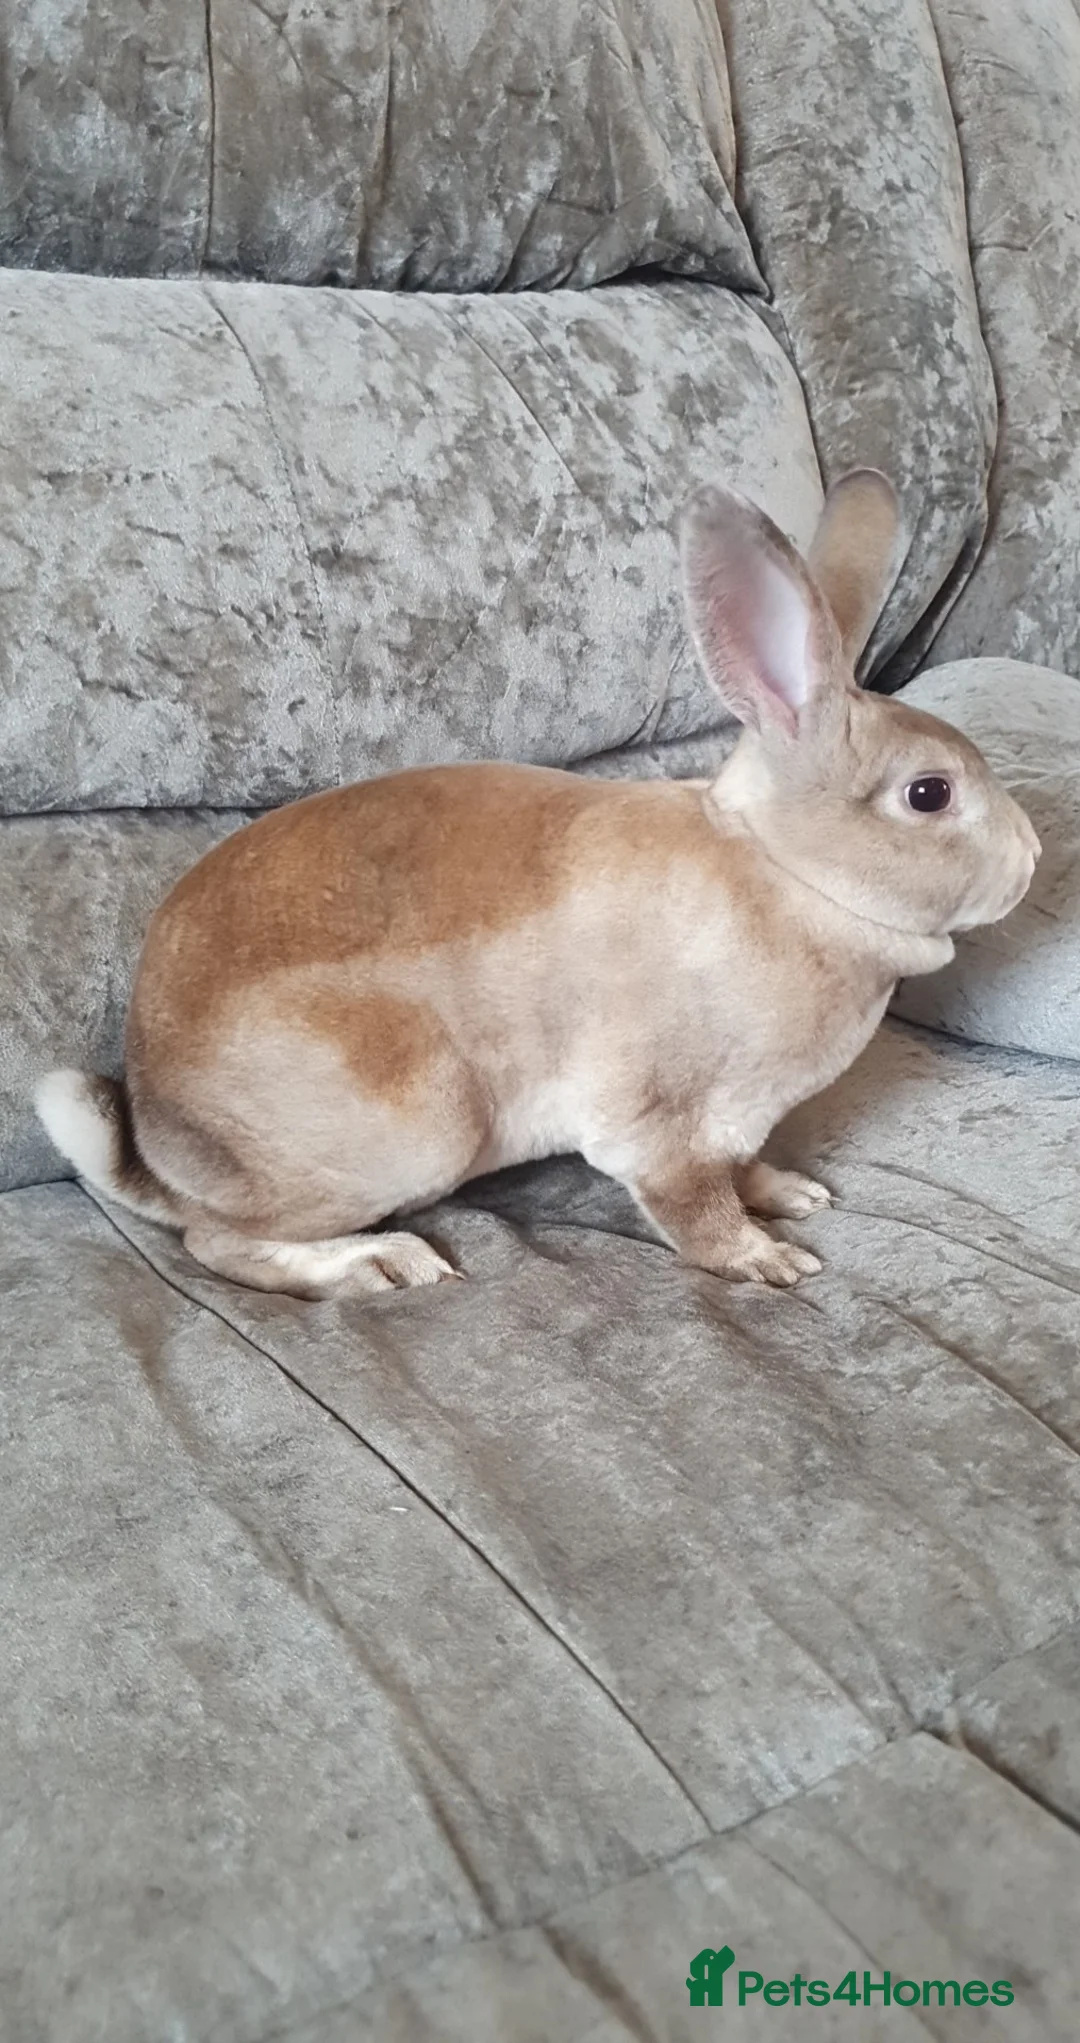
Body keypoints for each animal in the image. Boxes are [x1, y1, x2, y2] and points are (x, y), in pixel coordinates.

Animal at [36, 470, 1040, 1298]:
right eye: (929, 794)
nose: (1032, 856)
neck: (789, 873)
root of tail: (159, 1144)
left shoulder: (732, 1122)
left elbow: (741, 1169)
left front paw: (792, 1192)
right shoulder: (658, 1120)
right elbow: (693, 1205)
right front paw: (767, 1259)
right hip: (414, 1123)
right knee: (216, 1242)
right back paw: (378, 1265)